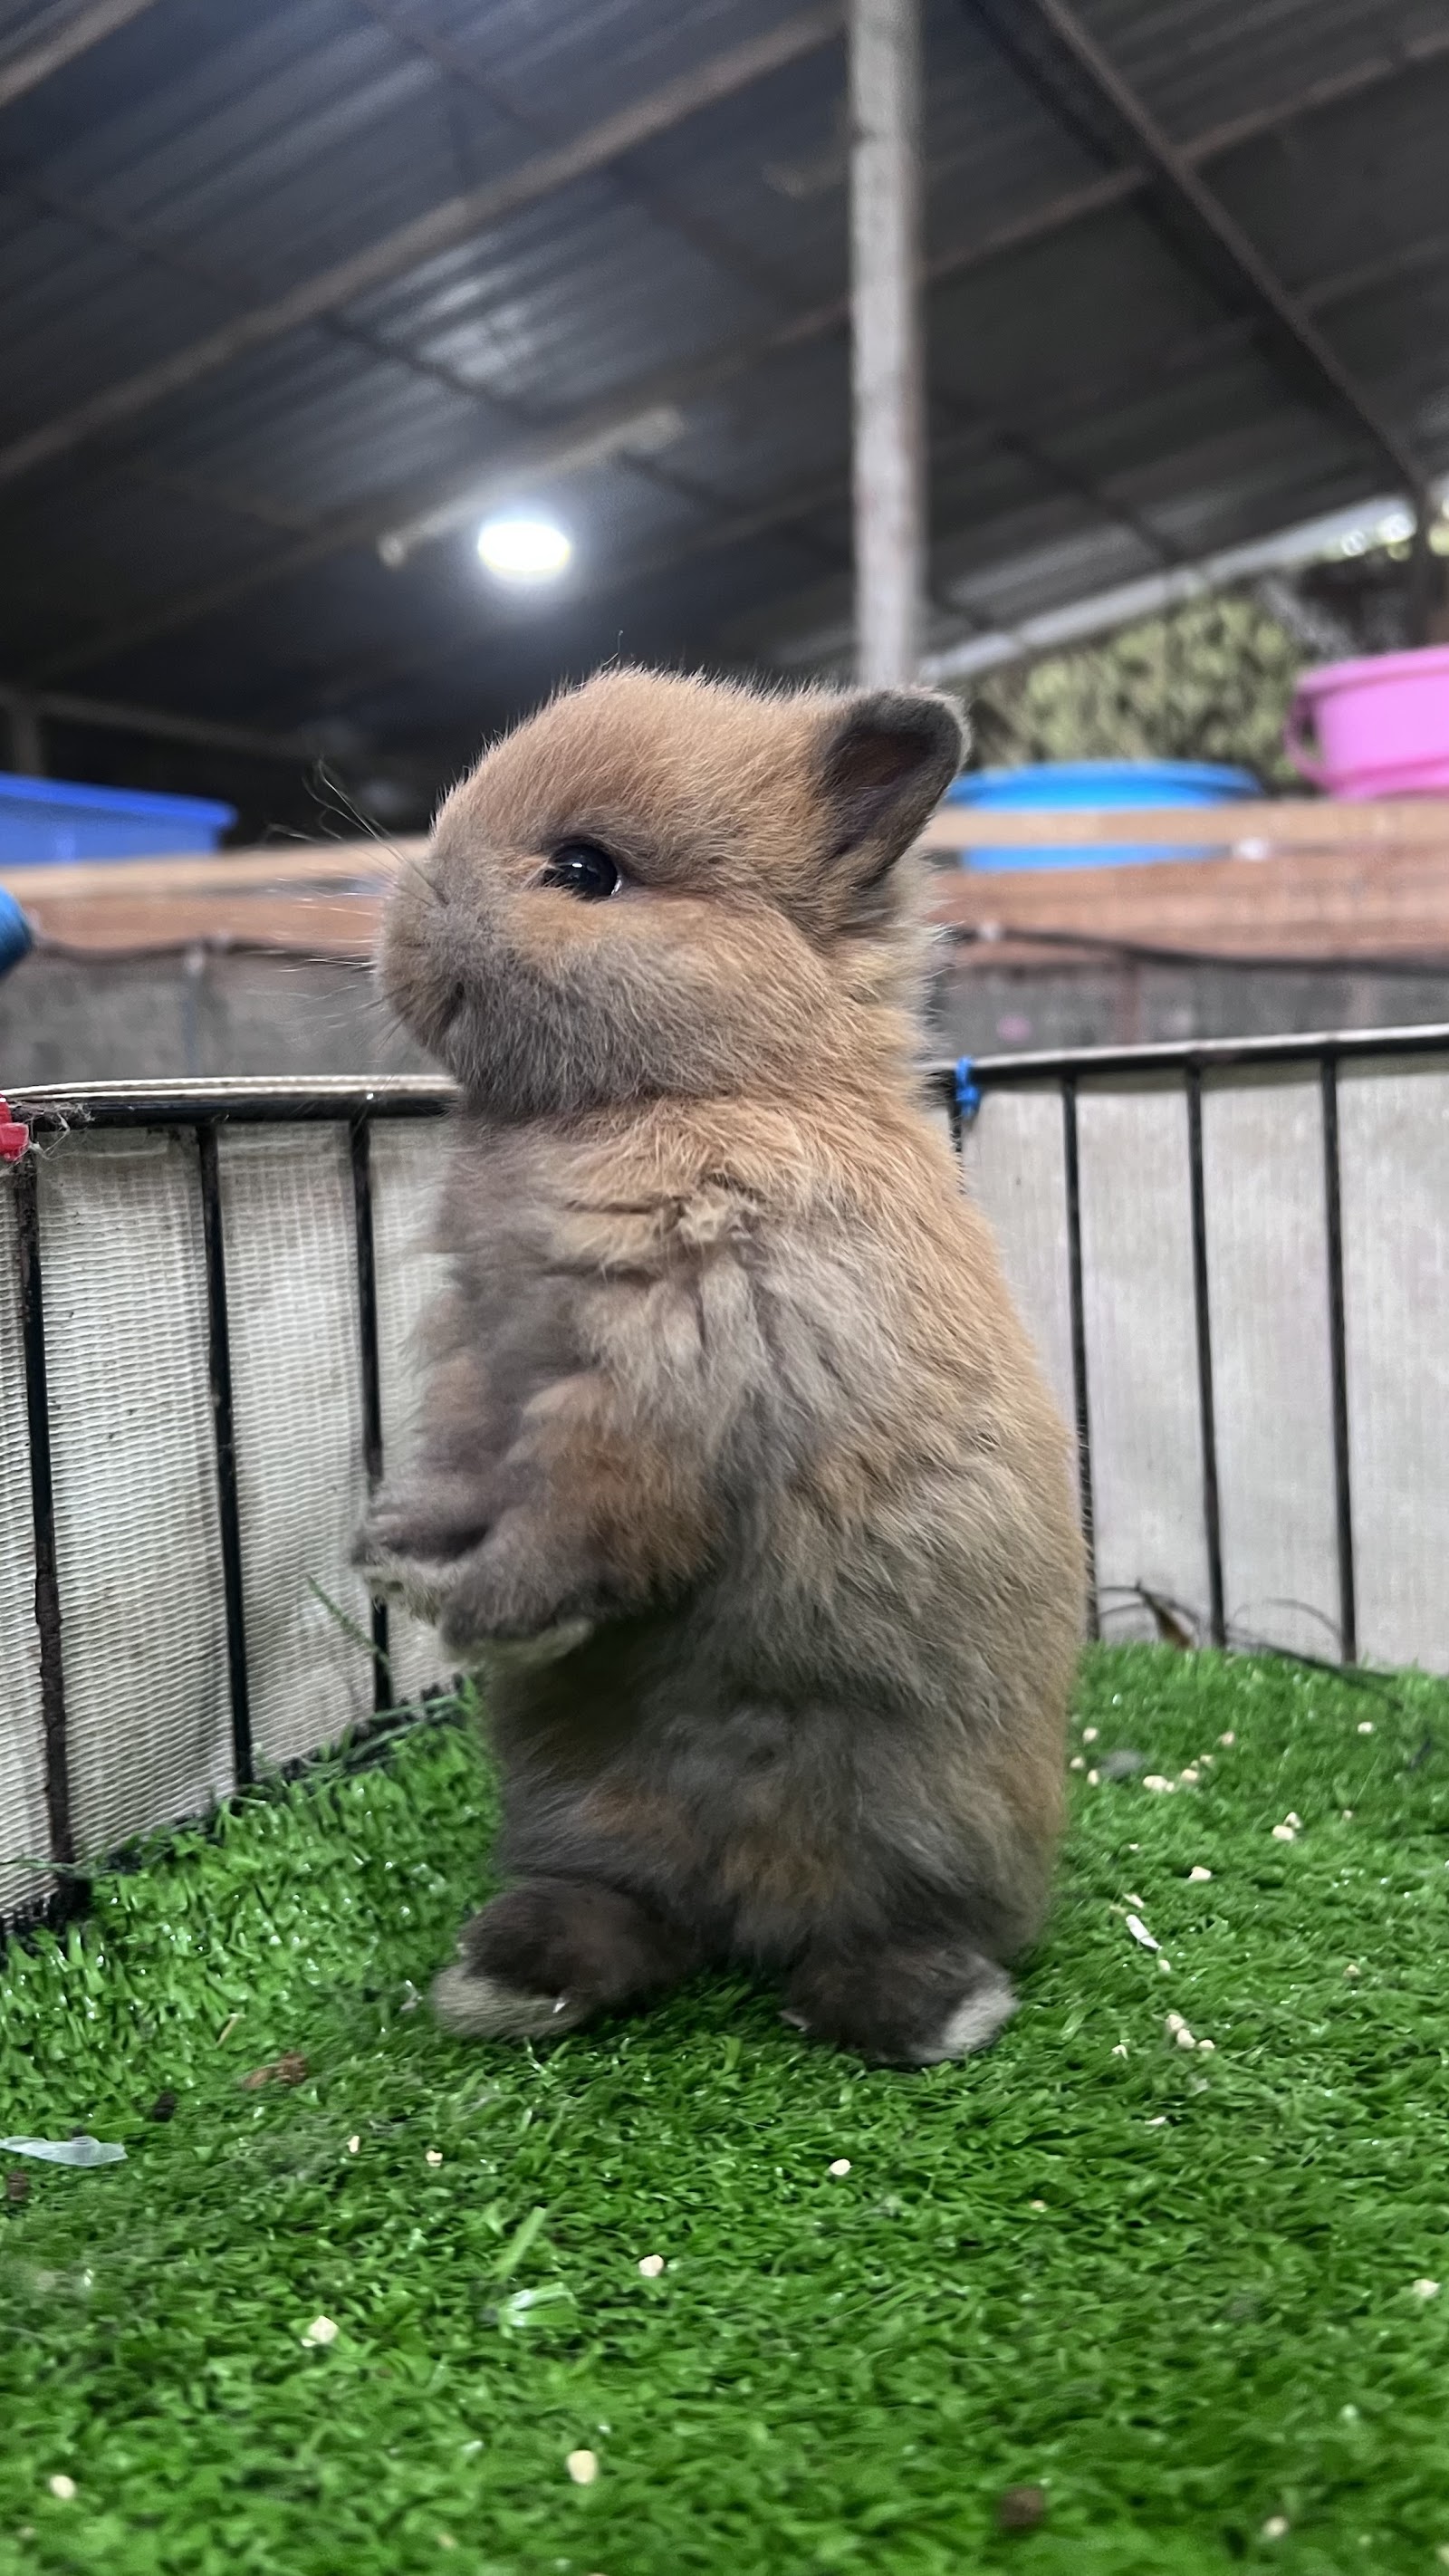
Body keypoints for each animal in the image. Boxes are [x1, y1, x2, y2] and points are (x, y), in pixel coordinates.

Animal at [355, 666, 1083, 2065]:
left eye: (585, 870)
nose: (401, 933)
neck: (704, 1085)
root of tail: (751, 1909)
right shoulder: (482, 1353)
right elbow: (464, 1465)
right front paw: (395, 1553)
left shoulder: (668, 1368)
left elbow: (587, 1514)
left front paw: (485, 1610)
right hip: (579, 1802)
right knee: (628, 1916)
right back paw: (515, 1976)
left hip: (925, 1811)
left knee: (882, 1932)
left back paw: (927, 2007)